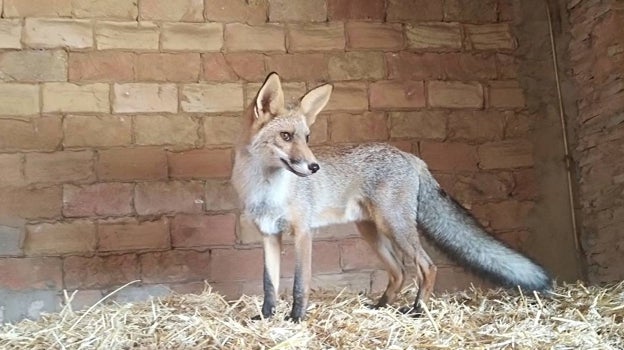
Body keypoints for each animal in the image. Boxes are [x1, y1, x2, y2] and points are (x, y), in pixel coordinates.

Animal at [232, 72, 552, 322]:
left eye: (307, 138)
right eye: (286, 136)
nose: (314, 167)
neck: (267, 190)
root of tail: (410, 156)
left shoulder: (302, 233)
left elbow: (300, 284)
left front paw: (297, 318)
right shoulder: (269, 235)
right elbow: (269, 285)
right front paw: (266, 317)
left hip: (394, 226)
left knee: (426, 266)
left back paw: (418, 311)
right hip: (372, 230)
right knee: (399, 271)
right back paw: (381, 307)